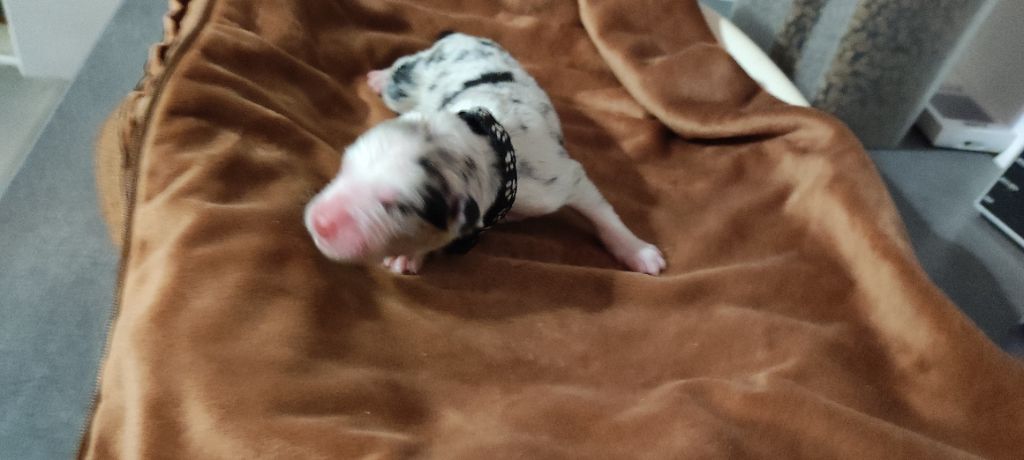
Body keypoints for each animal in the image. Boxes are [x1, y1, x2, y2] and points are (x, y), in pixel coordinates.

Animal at [305, 32, 665, 275]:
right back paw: (379, 76)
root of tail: (458, 36)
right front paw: (408, 255)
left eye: (396, 206)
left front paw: (639, 251)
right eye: (344, 168)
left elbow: (603, 213)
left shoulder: (561, 179)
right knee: (402, 66)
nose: (318, 222)